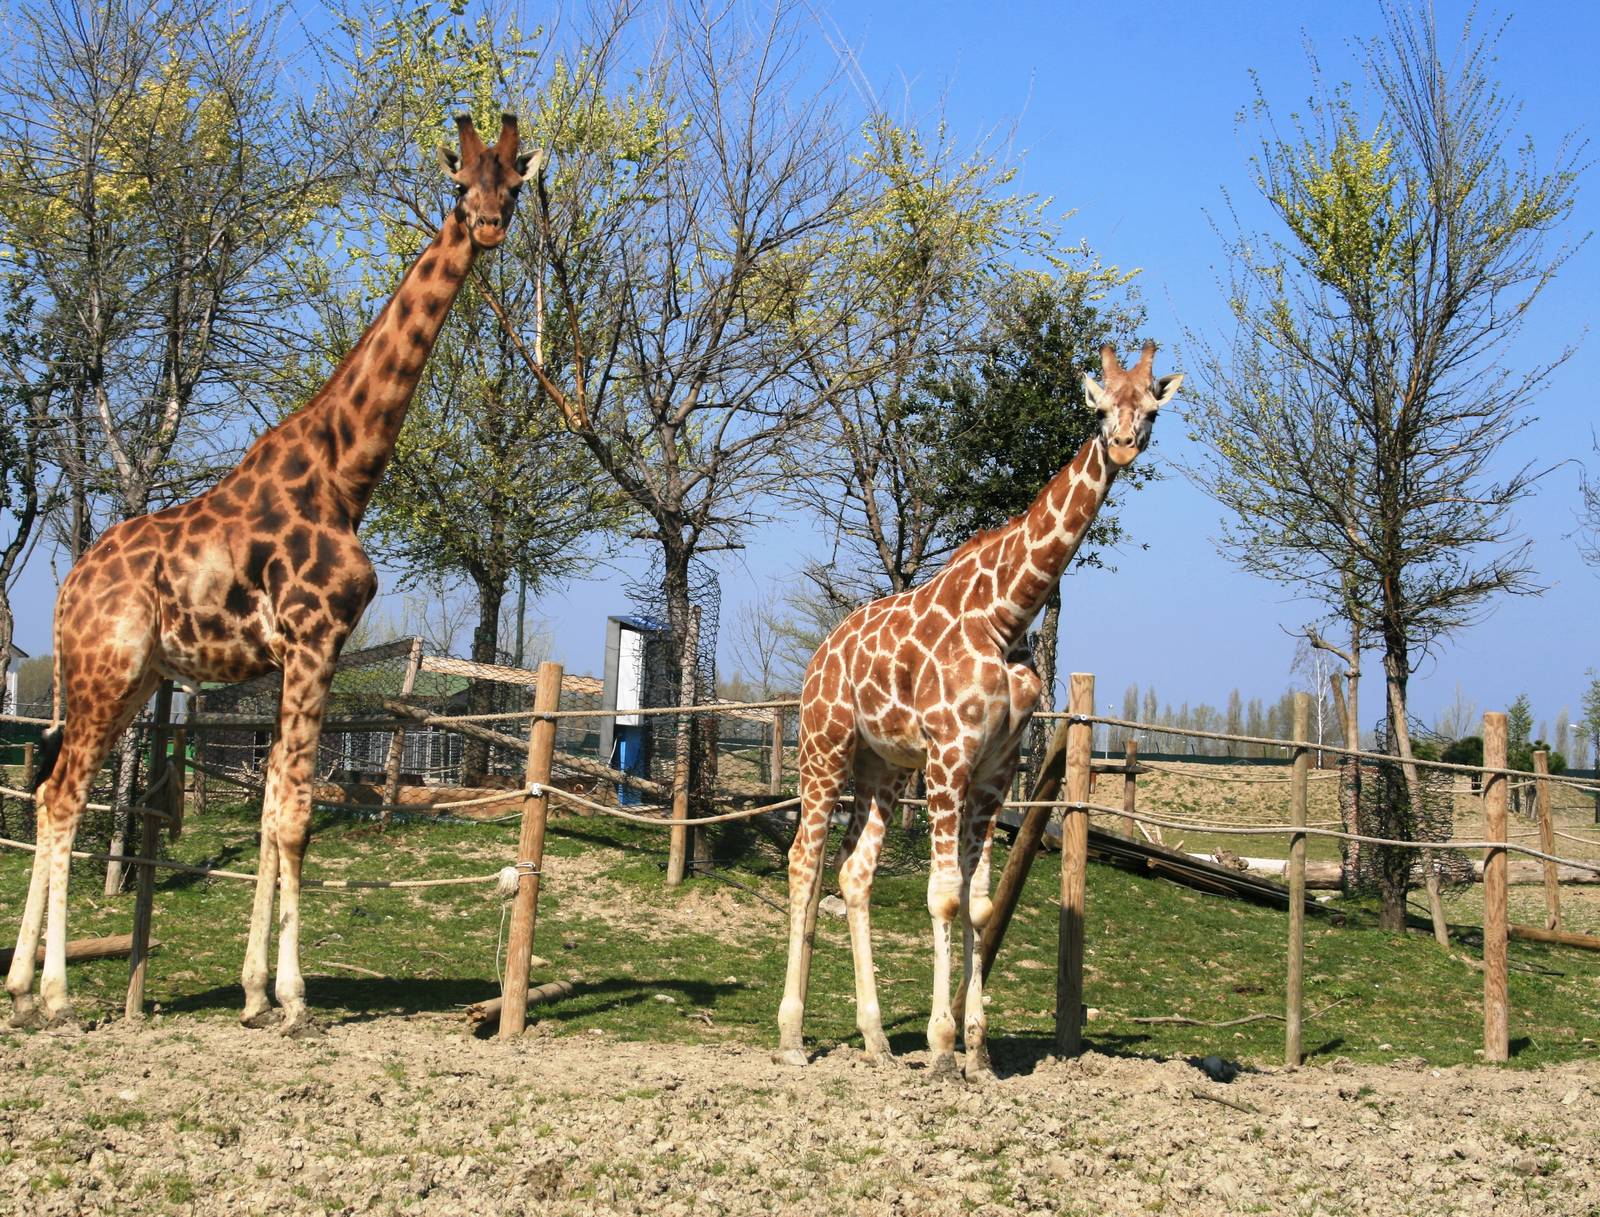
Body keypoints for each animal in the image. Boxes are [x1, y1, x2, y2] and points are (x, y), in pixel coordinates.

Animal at [6, 114, 538, 1036]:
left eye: (512, 184)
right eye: (459, 184)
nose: (490, 226)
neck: (344, 473)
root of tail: (67, 593)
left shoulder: (296, 652)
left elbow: (265, 812)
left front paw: (254, 993)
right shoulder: (315, 636)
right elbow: (292, 818)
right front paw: (293, 999)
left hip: (131, 680)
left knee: (45, 795)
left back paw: (21, 986)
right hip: (109, 670)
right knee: (66, 796)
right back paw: (59, 993)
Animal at [776, 341, 1181, 1078]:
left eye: (1152, 408)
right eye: (1099, 406)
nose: (1124, 443)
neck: (1005, 614)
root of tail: (820, 655)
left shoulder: (998, 764)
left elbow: (981, 902)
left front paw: (979, 1052)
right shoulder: (951, 751)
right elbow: (943, 892)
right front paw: (941, 1049)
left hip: (882, 768)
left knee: (853, 872)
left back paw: (876, 1041)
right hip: (825, 748)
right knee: (802, 862)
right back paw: (792, 1038)